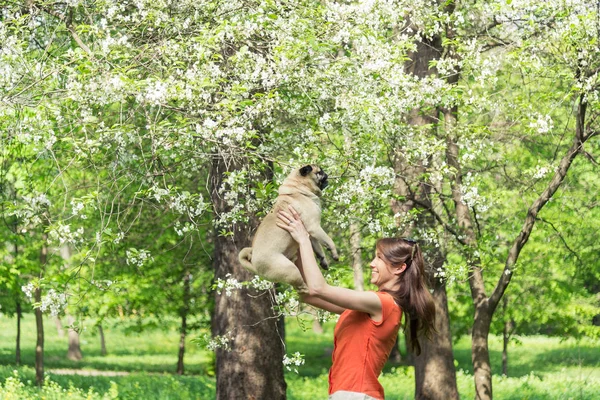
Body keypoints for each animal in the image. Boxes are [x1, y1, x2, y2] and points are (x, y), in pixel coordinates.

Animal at [241, 164, 340, 292]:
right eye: (319, 172)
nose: (326, 173)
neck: (299, 189)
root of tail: (254, 263)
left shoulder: (311, 234)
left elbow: (319, 248)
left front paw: (323, 260)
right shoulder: (315, 227)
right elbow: (329, 241)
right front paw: (334, 253)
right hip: (290, 270)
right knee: (300, 287)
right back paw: (307, 289)